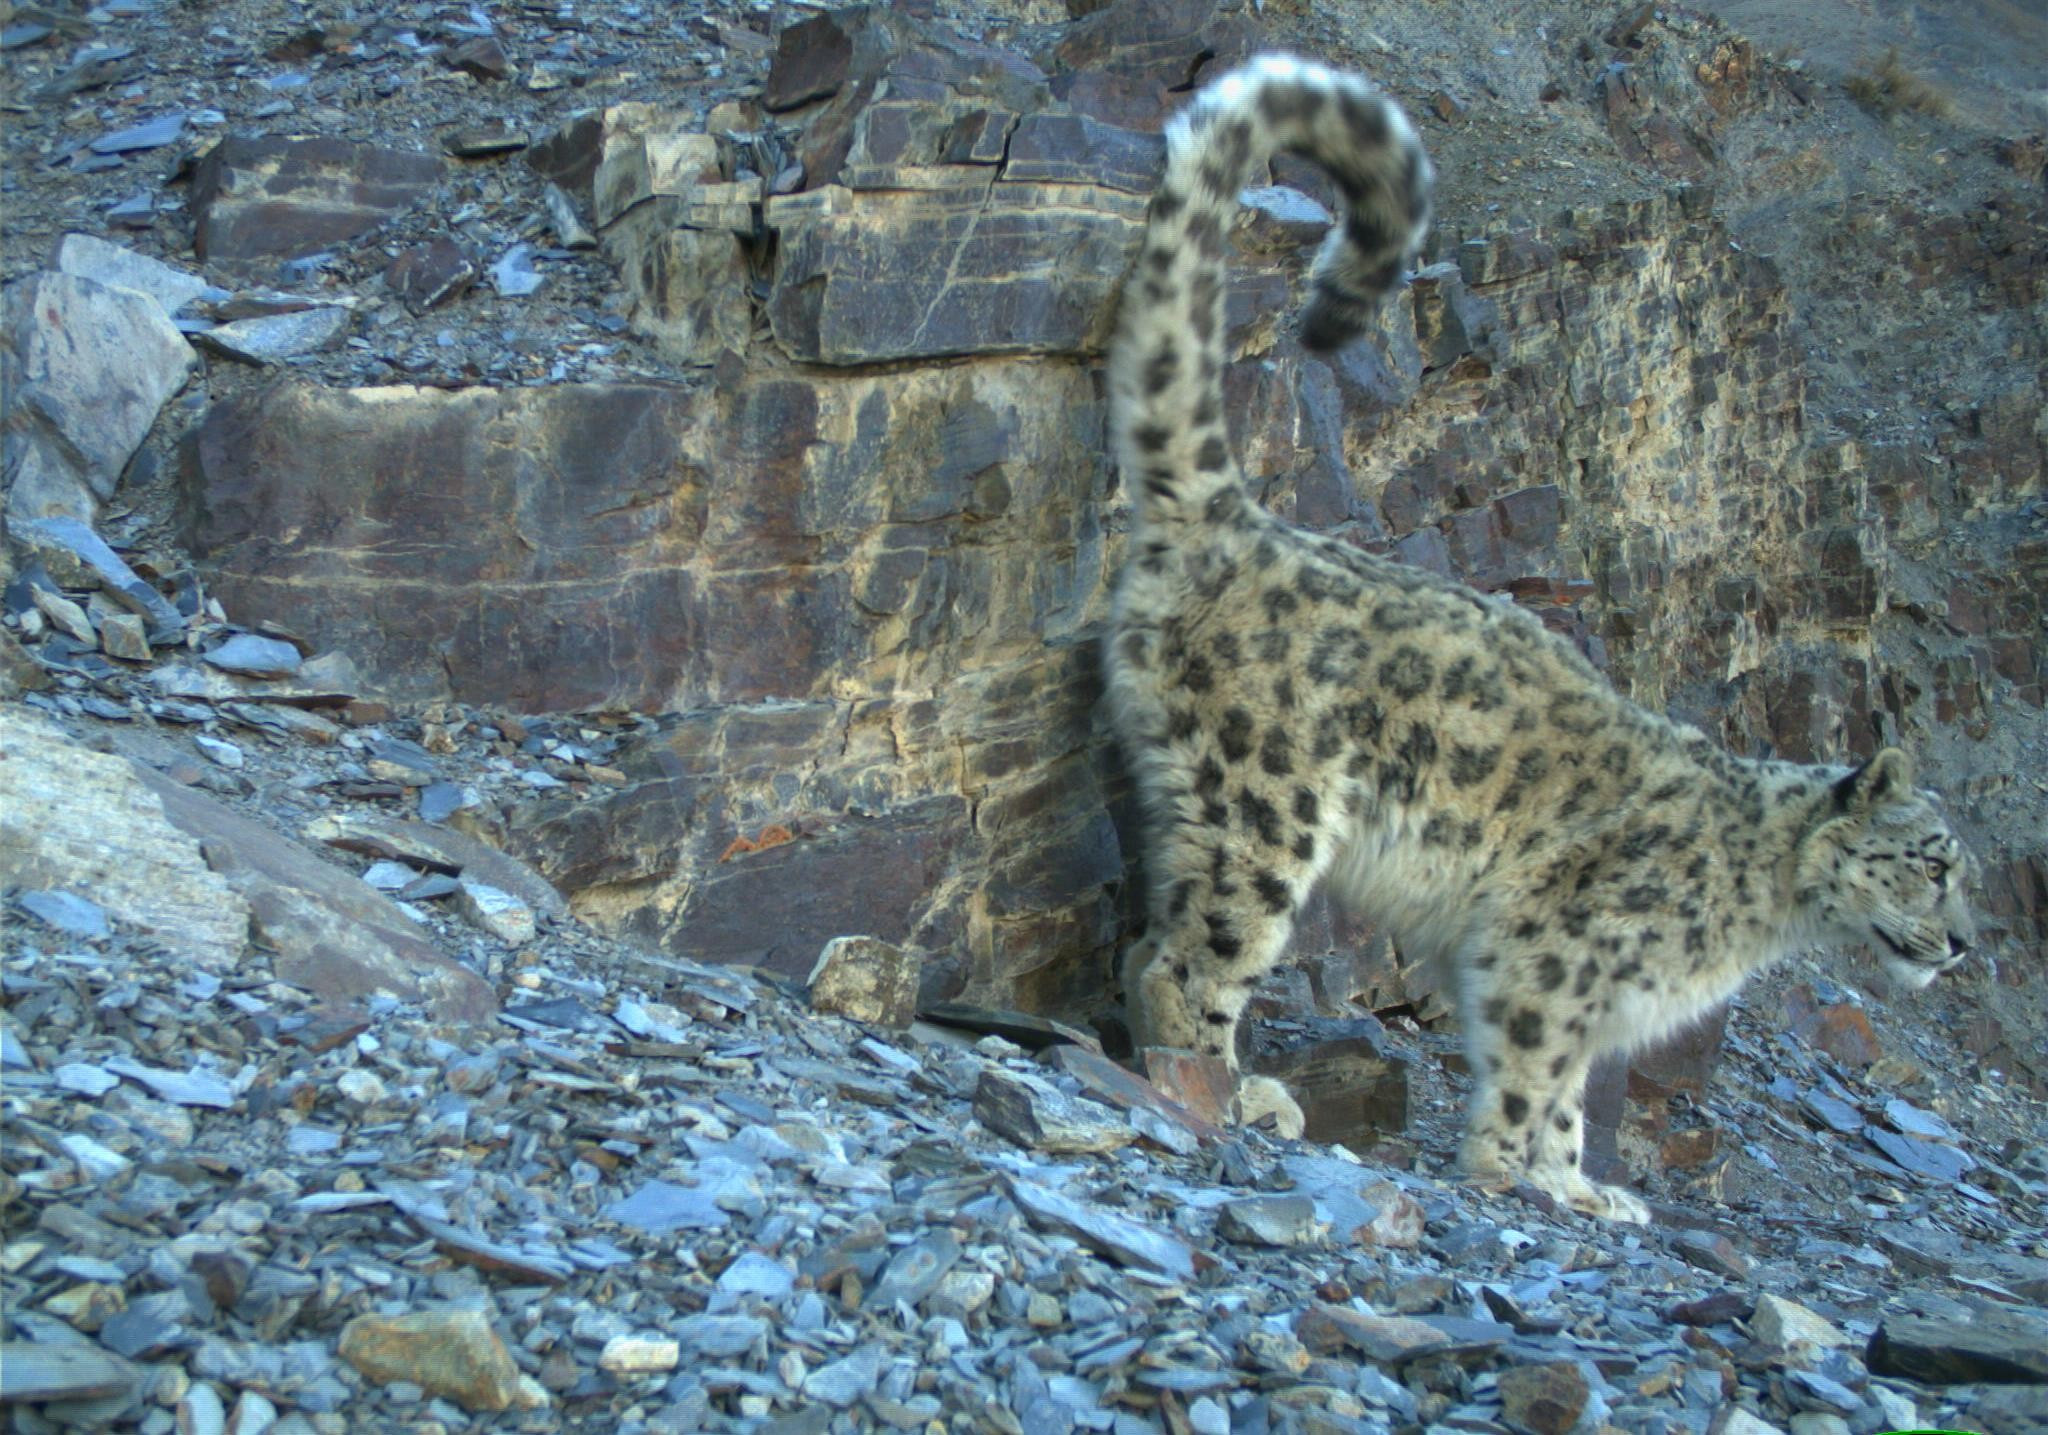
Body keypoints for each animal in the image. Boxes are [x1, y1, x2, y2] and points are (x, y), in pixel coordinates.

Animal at [1104, 54, 1976, 1222]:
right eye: (1929, 864)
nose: (1962, 944)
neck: (1763, 910)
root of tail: (1243, 523)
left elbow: (1569, 1082)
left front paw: (1578, 1184)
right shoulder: (1557, 947)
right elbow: (1533, 1060)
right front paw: (1514, 1171)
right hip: (1265, 801)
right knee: (1191, 959)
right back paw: (1234, 1093)